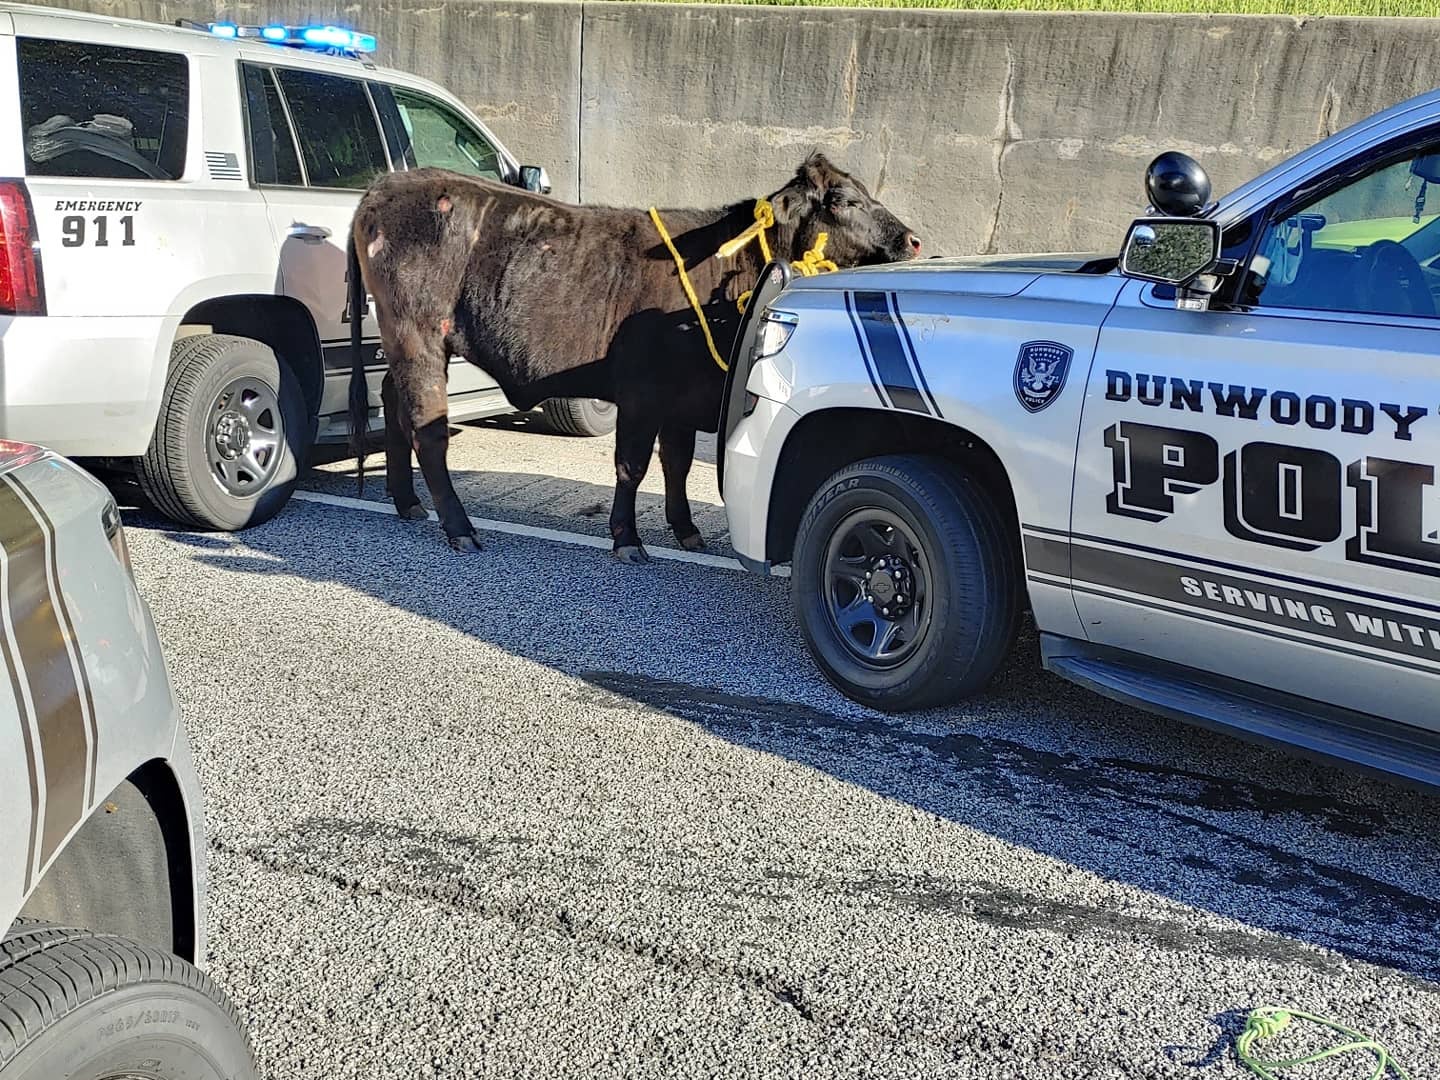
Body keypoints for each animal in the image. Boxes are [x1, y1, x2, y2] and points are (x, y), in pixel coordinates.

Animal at [346, 152, 920, 562]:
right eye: (842, 199)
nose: (914, 239)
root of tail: (386, 185)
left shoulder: (684, 395)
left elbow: (677, 462)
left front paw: (686, 529)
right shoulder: (643, 392)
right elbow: (633, 464)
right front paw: (626, 537)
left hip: (407, 347)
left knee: (391, 403)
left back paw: (407, 502)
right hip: (420, 338)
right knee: (428, 430)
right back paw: (458, 527)